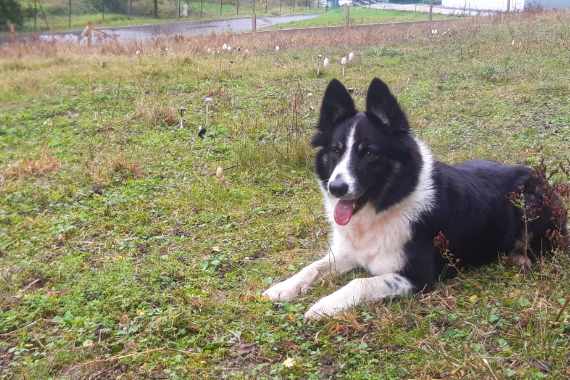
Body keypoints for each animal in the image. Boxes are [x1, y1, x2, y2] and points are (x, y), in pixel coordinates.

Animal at [262, 78, 564, 320]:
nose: (336, 187)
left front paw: (324, 305)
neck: (385, 207)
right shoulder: (347, 253)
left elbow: (359, 283)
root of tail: (541, 178)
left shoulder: (417, 276)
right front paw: (283, 288)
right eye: (336, 151)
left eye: (369, 153)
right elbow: (312, 267)